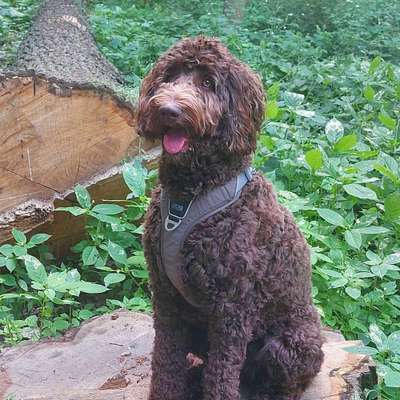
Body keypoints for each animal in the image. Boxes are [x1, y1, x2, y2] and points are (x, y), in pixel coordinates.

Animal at [138, 36, 324, 400]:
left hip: (288, 345)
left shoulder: (232, 309)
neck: (190, 195)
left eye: (208, 83)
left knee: (281, 381)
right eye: (169, 76)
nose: (169, 110)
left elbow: (221, 374)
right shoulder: (165, 297)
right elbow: (165, 361)